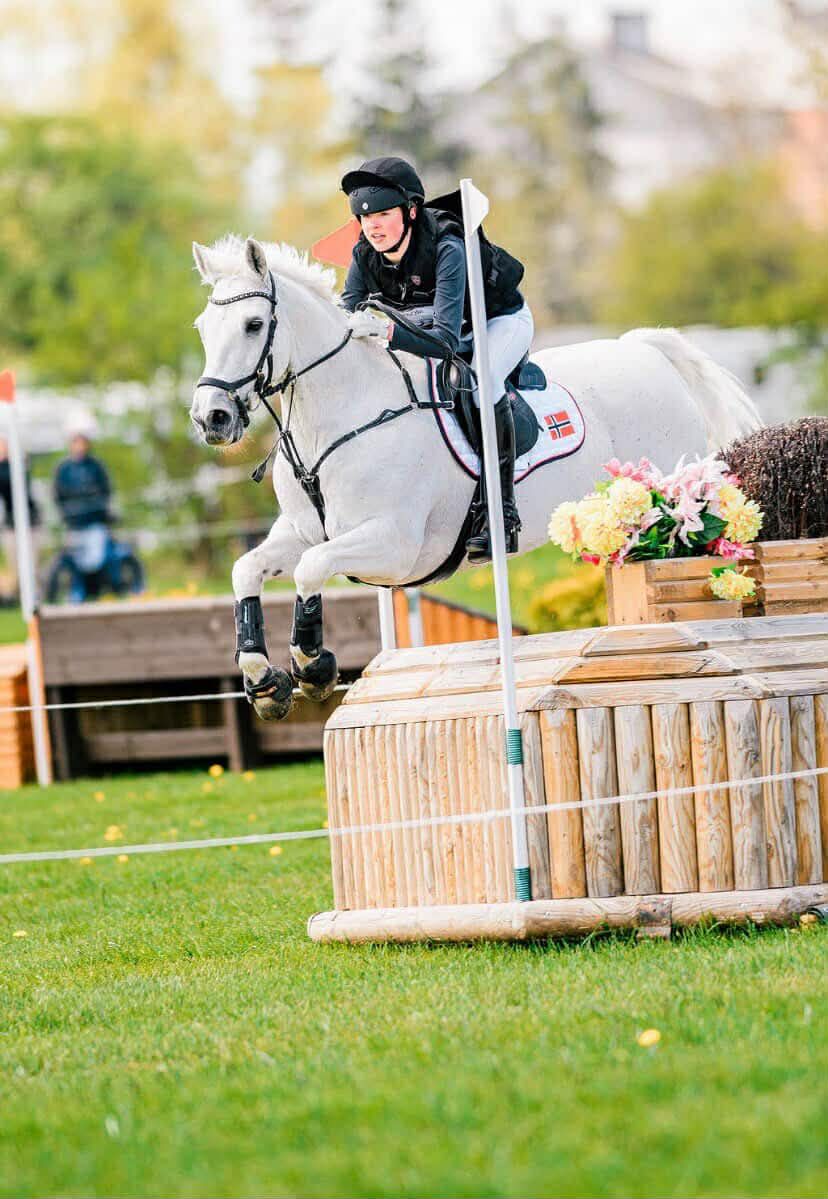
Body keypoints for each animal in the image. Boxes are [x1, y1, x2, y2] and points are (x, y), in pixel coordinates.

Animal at [190, 235, 763, 721]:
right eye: (201, 328)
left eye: (253, 325)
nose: (211, 418)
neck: (339, 415)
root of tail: (644, 350)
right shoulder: (304, 532)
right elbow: (247, 570)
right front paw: (265, 682)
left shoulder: (394, 547)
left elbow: (310, 571)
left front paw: (313, 668)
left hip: (665, 503)